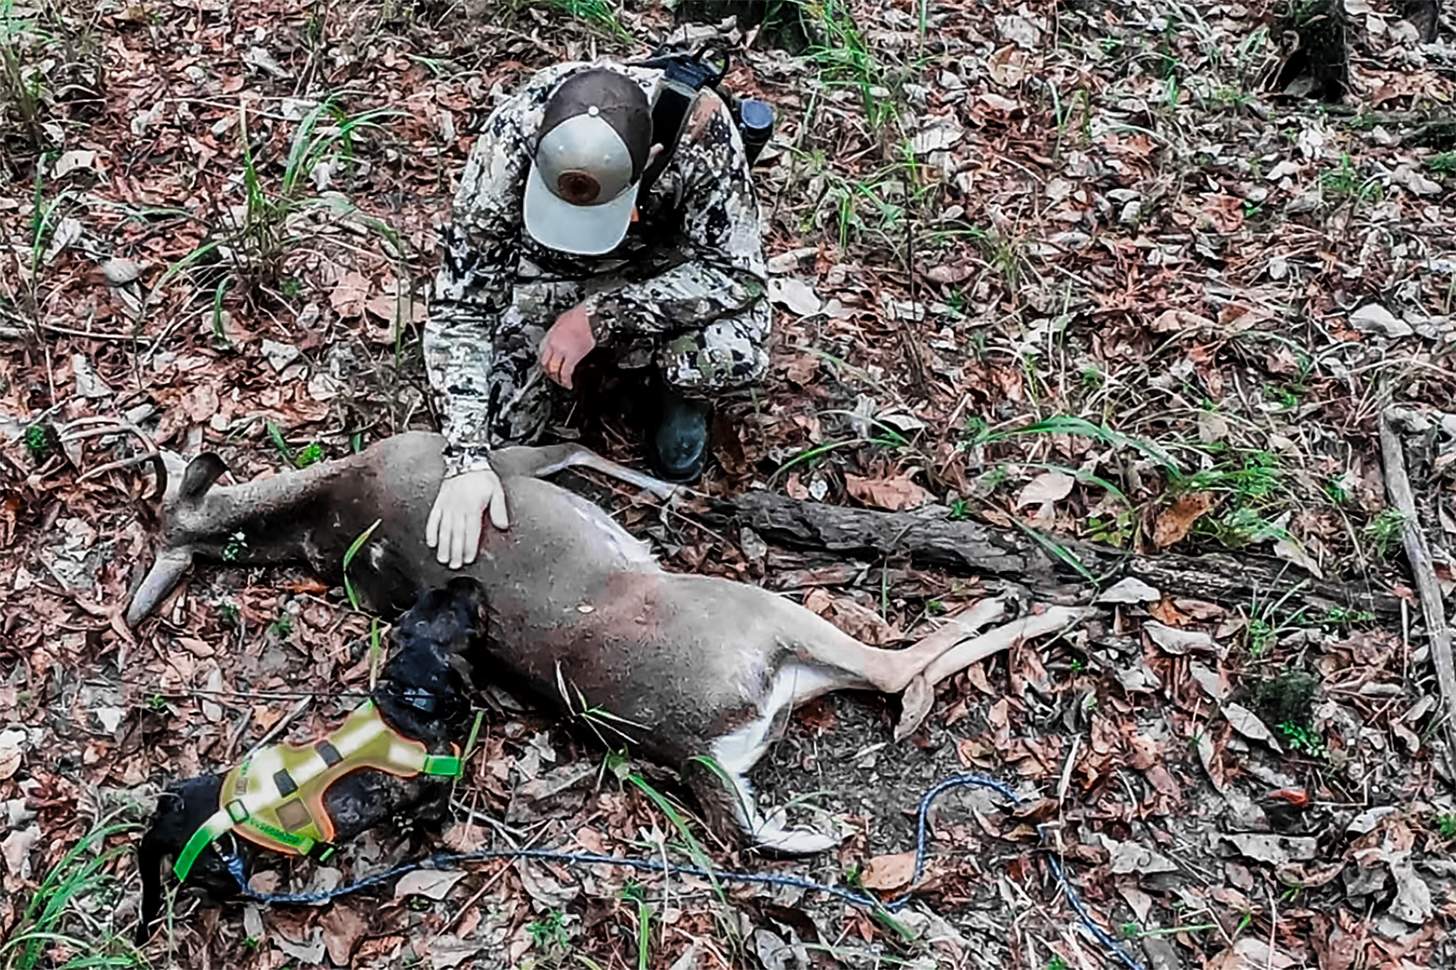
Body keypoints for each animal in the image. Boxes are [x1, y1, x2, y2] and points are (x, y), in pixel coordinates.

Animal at [127, 431, 1085, 853]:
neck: (330, 505)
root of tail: (696, 747)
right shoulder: (496, 459)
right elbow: (573, 447)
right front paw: (668, 491)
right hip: (755, 615)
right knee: (894, 669)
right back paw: (1040, 605)